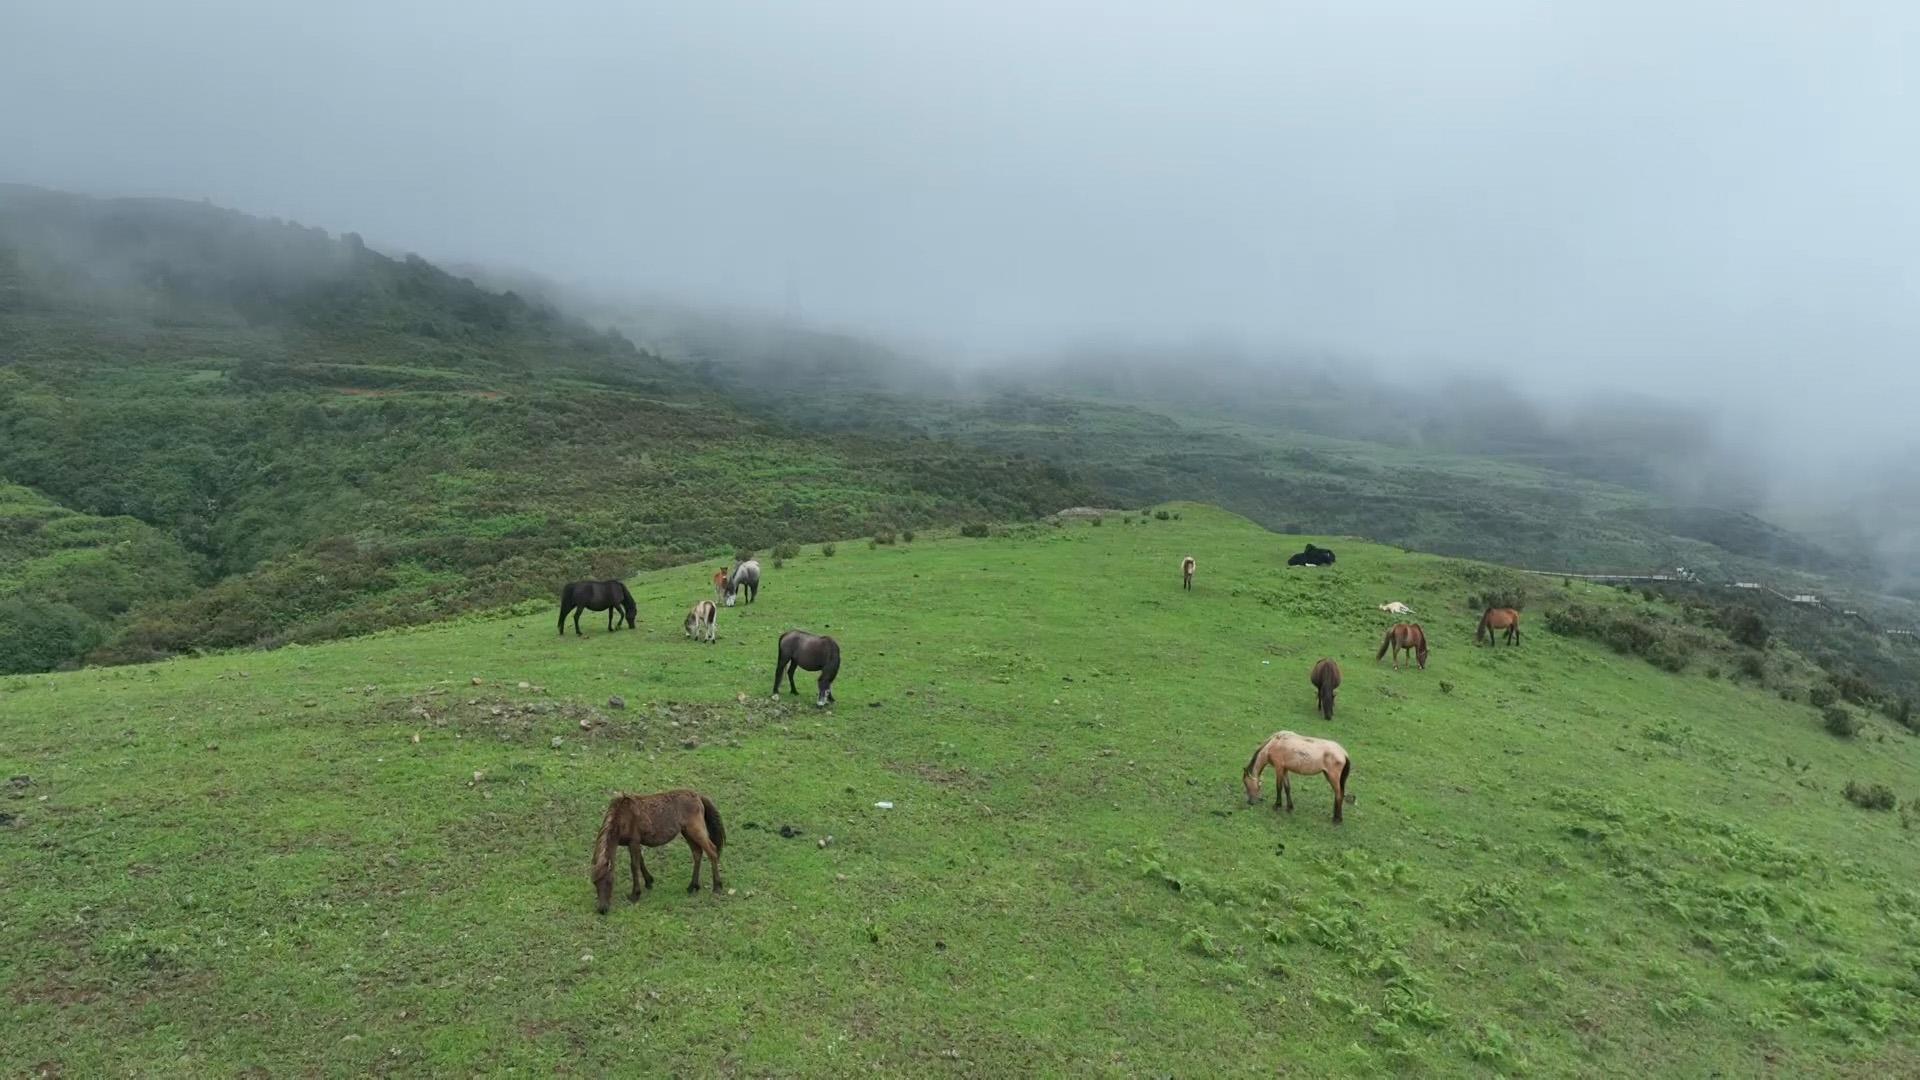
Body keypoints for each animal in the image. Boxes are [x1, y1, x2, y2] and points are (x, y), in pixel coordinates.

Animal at [587, 780, 721, 907]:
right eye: (595, 883)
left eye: (608, 881)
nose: (602, 909)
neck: (621, 818)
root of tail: (697, 796)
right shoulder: (636, 843)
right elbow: (640, 861)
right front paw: (648, 882)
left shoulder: (633, 842)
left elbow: (634, 865)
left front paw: (635, 894)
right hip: (687, 832)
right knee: (697, 853)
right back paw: (693, 886)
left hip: (695, 830)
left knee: (712, 851)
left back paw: (717, 887)